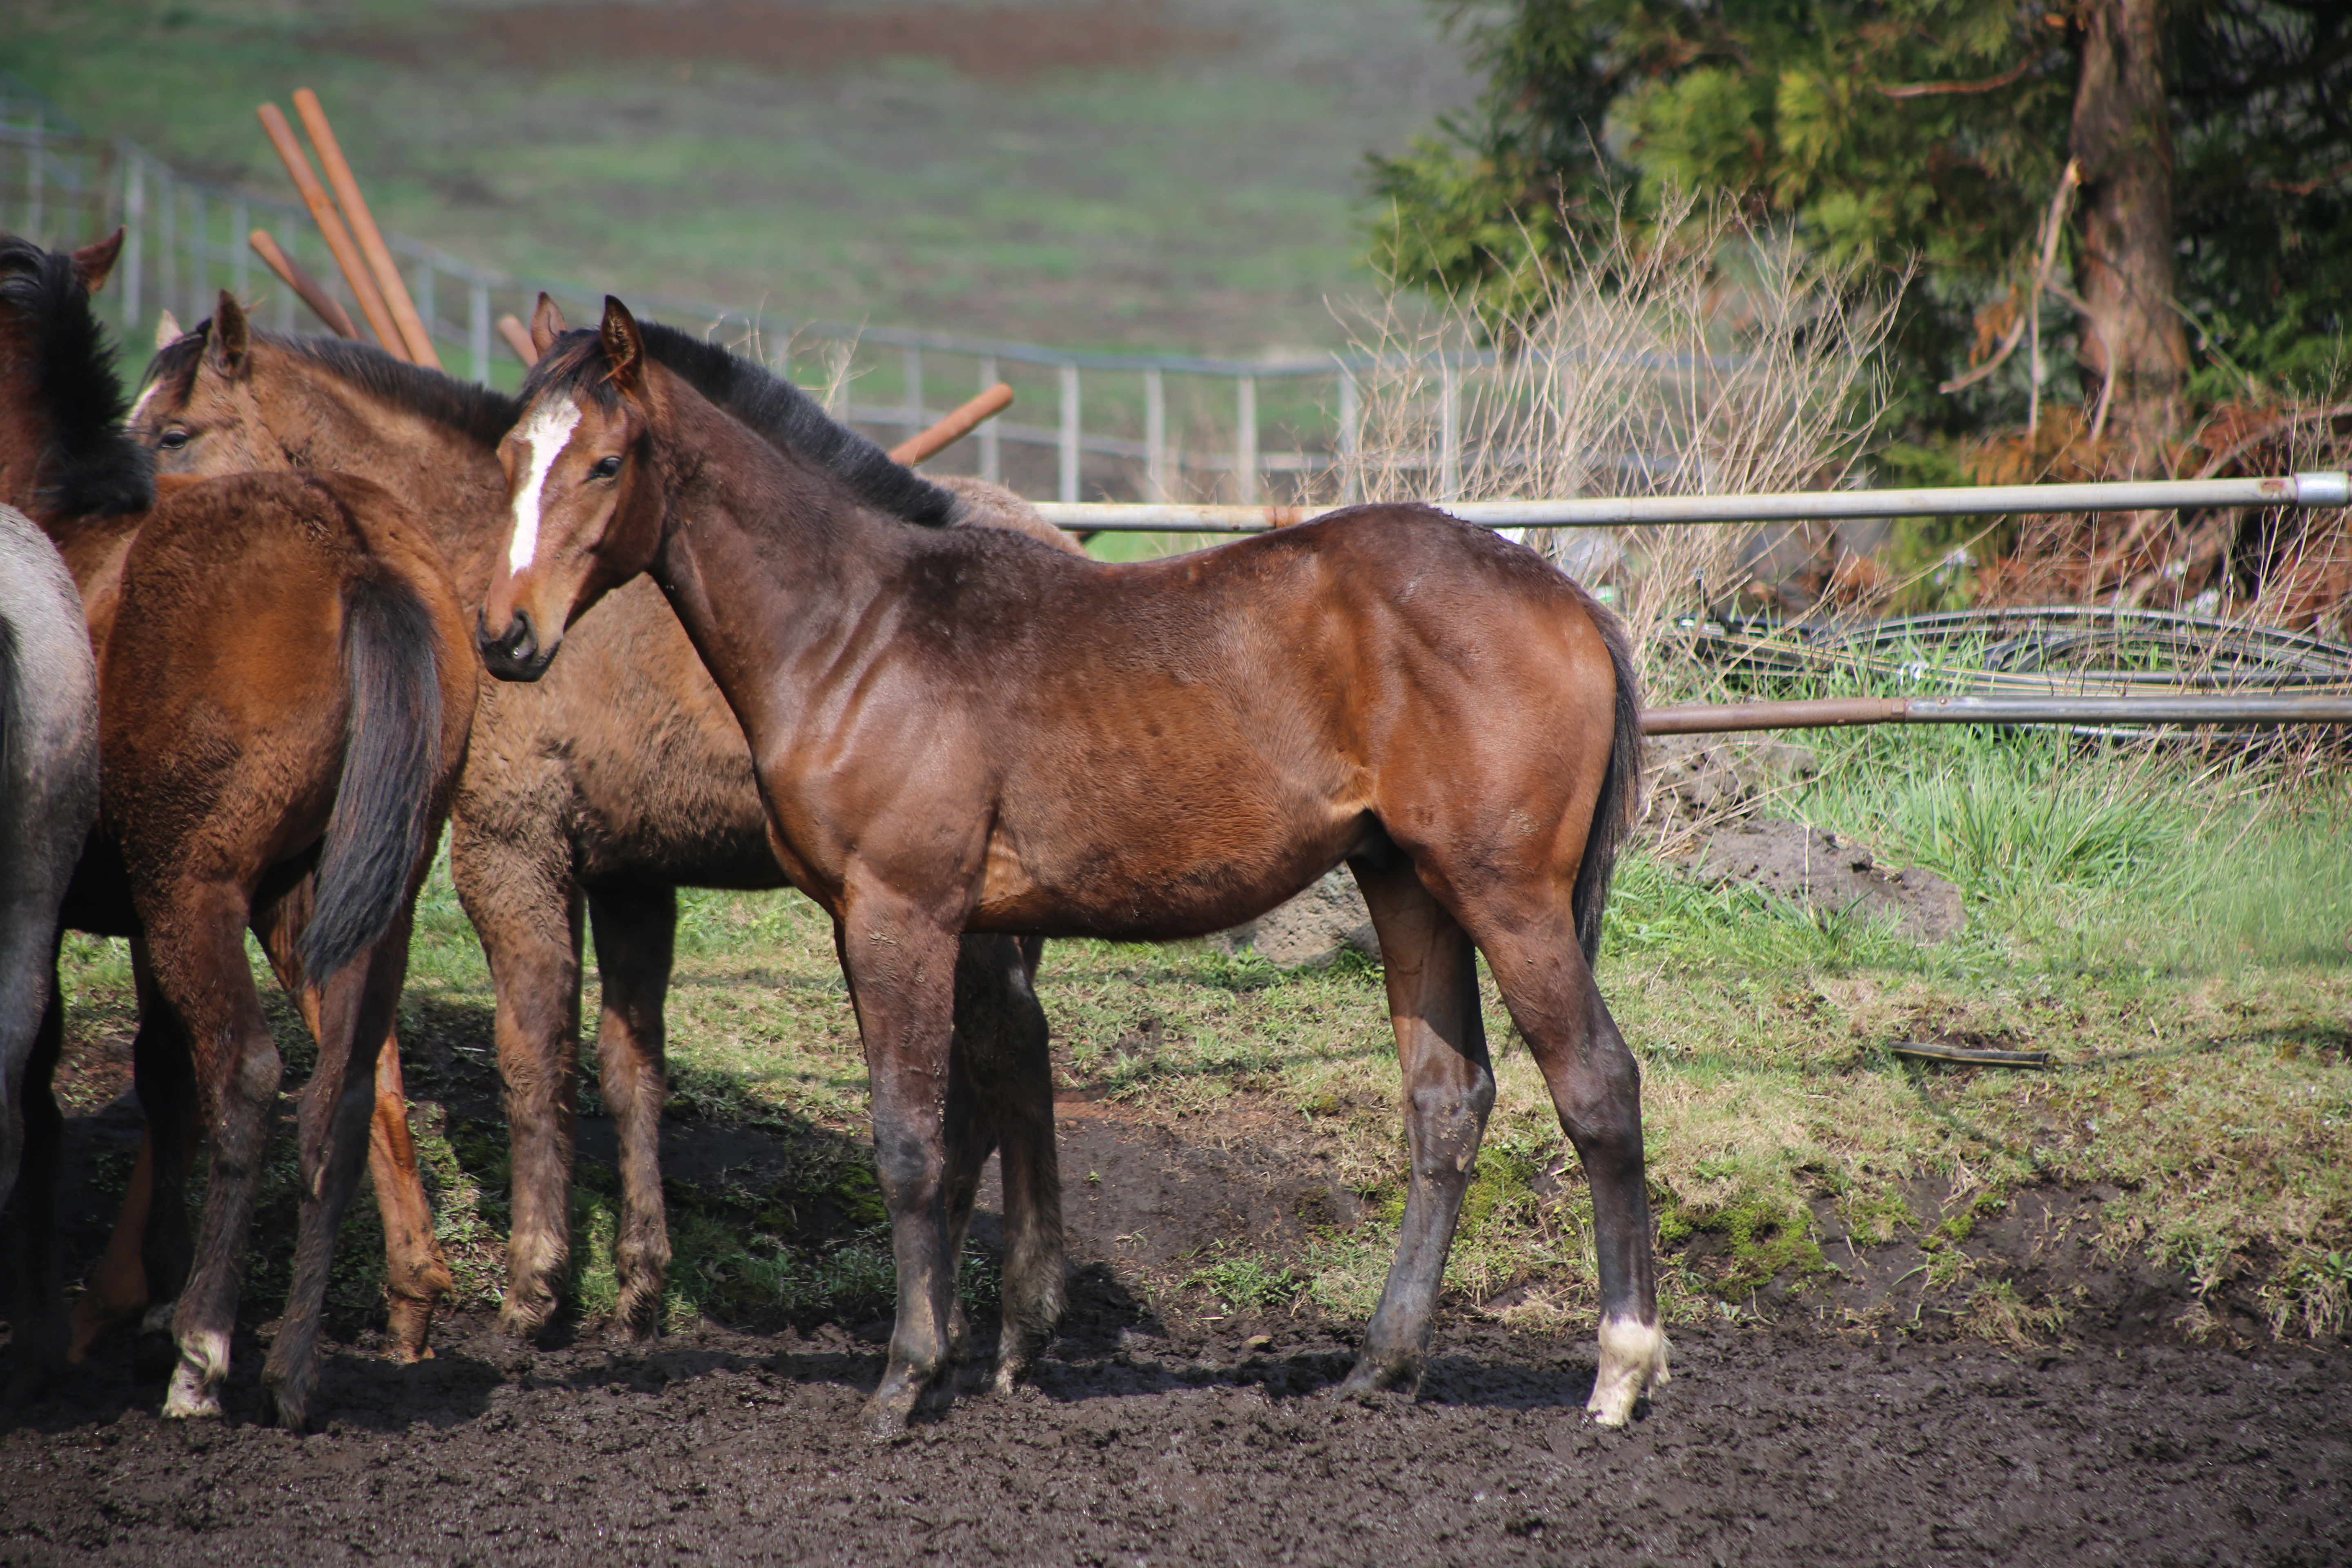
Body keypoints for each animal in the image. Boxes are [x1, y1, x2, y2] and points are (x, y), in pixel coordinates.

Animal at [133, 294, 1072, 1373]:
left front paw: (531, 1290)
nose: (121, 552)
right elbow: (631, 1075)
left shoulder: (511, 853)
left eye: (173, 434)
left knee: (1004, 1056)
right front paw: (635, 1292)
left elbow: (534, 1057)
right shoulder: (632, 876)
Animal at [477, 297, 1665, 1439]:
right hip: (1409, 887)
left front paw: (906, 1382)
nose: (504, 636)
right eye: (508, 457)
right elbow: (967, 1127)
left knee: (1597, 1085)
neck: (860, 633)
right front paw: (964, 1358)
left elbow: (910, 1142)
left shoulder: (898, 913)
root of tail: (1571, 604)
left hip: (1506, 895)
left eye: (604, 462)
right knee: (1445, 1103)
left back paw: (1619, 1371)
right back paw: (1382, 1363)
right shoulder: (934, 925)